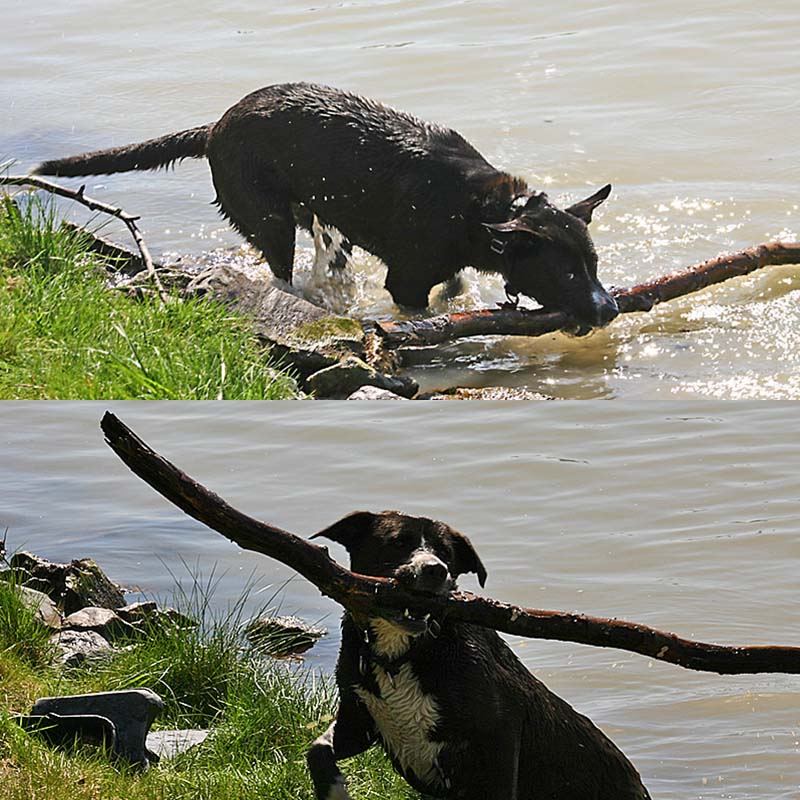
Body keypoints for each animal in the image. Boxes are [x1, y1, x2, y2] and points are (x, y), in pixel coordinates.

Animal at [36, 82, 620, 328]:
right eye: (567, 273)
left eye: (593, 265)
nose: (611, 309)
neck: (485, 210)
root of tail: (215, 127)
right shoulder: (405, 280)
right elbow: (417, 305)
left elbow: (455, 287)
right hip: (268, 216)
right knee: (280, 269)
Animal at [306, 512, 648, 800]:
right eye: (398, 541)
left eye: (446, 553)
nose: (435, 570)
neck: (400, 657)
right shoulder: (360, 720)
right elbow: (317, 749)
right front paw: (334, 790)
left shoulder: (499, 734)